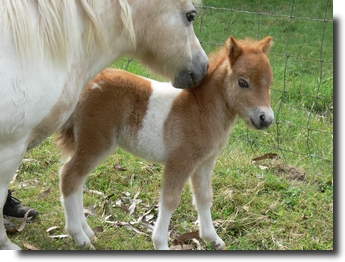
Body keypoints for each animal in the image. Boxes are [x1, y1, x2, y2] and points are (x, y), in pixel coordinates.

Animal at [55, 35, 274, 250]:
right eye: (242, 82)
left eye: (270, 84)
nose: (266, 119)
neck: (201, 108)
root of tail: (86, 84)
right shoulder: (180, 160)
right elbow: (170, 200)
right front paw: (161, 243)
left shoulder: (205, 162)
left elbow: (204, 197)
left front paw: (213, 239)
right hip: (96, 142)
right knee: (70, 175)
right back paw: (79, 237)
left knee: (78, 180)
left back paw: (87, 231)